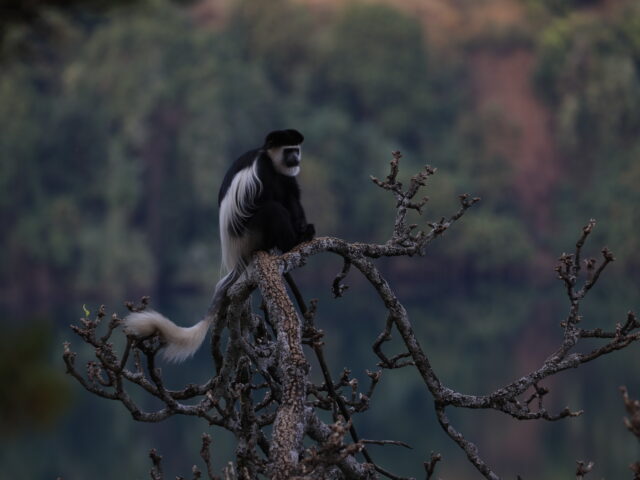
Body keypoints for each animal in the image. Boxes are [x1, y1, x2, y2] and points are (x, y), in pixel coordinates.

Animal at [123, 129, 314, 361]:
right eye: (288, 151)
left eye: (296, 150)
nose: (295, 159)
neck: (270, 159)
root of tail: (238, 253)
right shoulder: (262, 171)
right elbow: (266, 200)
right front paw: (297, 236)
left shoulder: (287, 176)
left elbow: (292, 196)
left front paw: (304, 229)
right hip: (251, 233)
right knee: (271, 209)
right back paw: (290, 243)